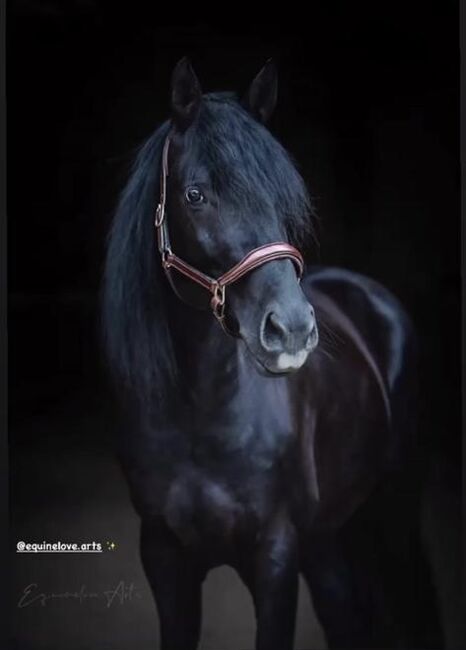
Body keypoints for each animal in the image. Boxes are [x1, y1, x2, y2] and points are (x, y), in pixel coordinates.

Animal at [101, 58, 440, 644]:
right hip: (329, 539)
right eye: (195, 195)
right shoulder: (164, 557)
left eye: (283, 195)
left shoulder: (275, 556)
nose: (294, 329)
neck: (200, 418)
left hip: (394, 507)